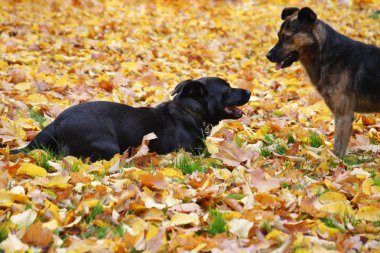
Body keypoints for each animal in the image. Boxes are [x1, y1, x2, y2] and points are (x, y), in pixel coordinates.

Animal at [268, 6, 380, 157]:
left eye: (286, 37)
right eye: (278, 35)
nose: (268, 55)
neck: (327, 54)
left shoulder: (343, 115)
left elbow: (338, 149)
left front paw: (335, 161)